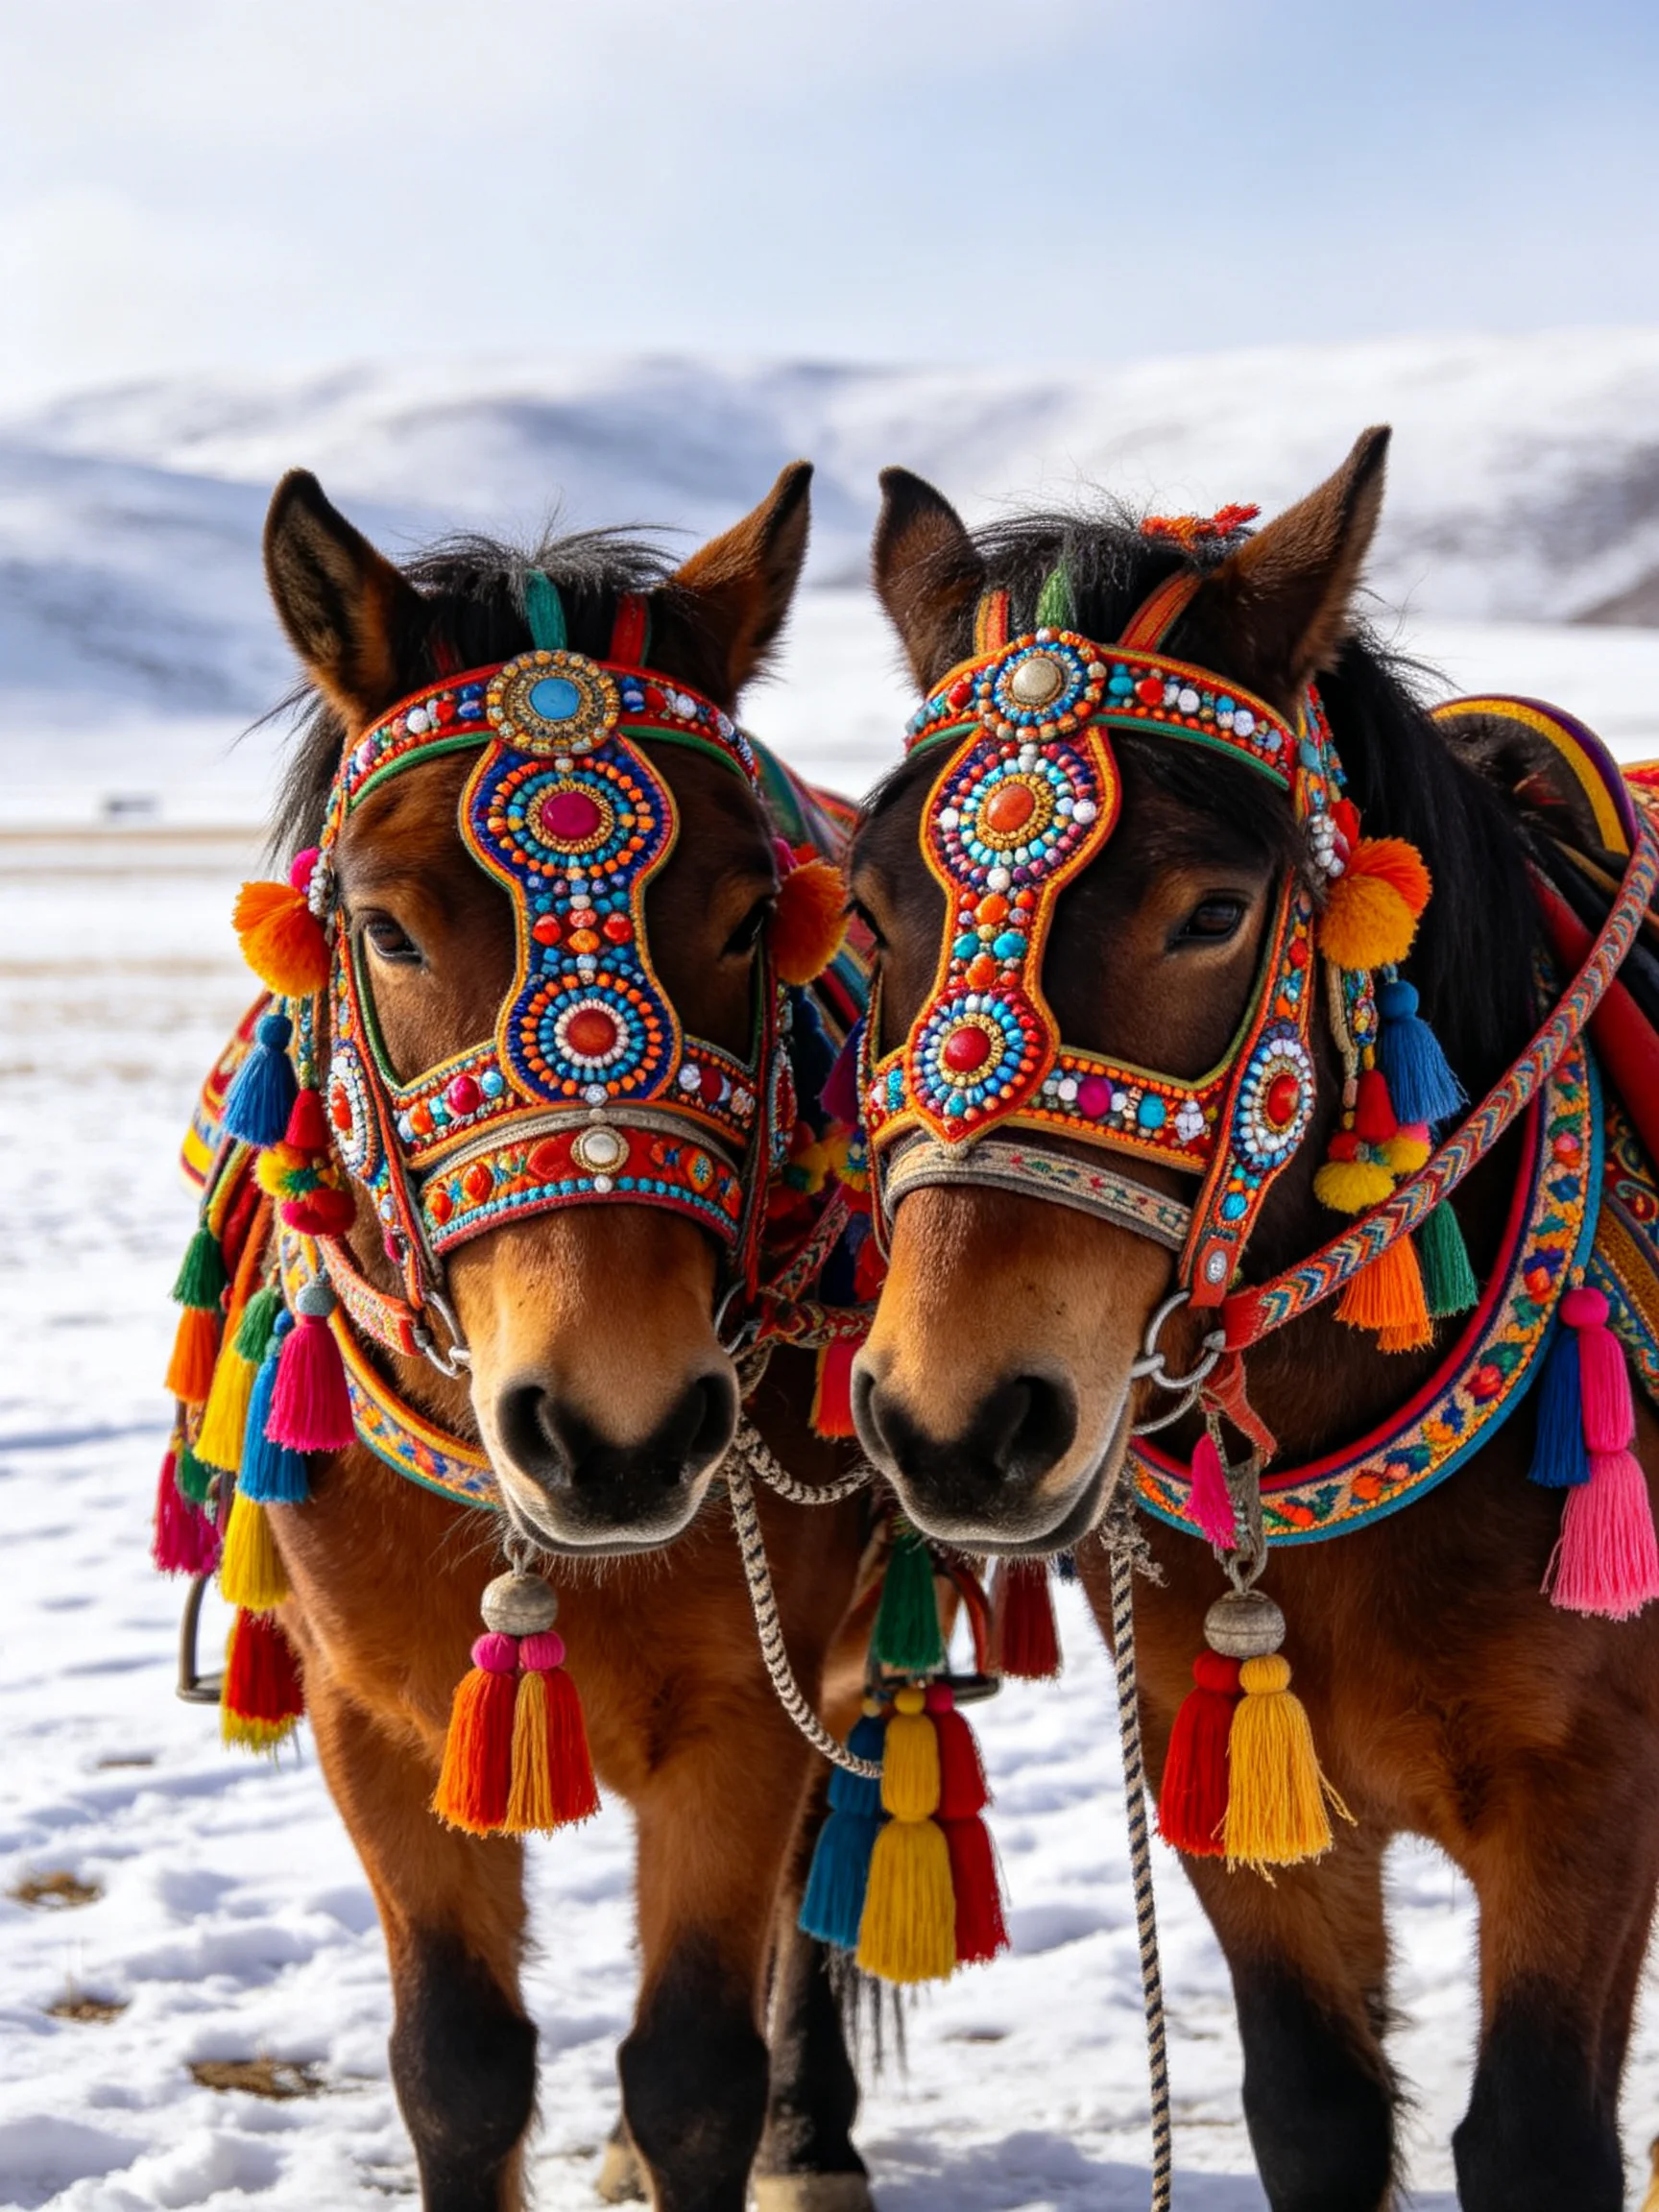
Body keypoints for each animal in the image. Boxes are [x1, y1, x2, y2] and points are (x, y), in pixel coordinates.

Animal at [159, 463, 883, 2212]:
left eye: (750, 916)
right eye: (386, 928)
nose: (617, 1433)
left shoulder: (740, 1718)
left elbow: (695, 2064)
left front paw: (740, 2123)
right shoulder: (371, 1722)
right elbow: (460, 2067)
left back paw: (811, 2134)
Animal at [846, 431, 1659, 2211]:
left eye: (1213, 912)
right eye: (865, 914)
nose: (957, 1422)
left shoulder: (1587, 1798)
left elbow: (1531, 2138)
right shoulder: (1238, 1787)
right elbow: (1315, 2108)